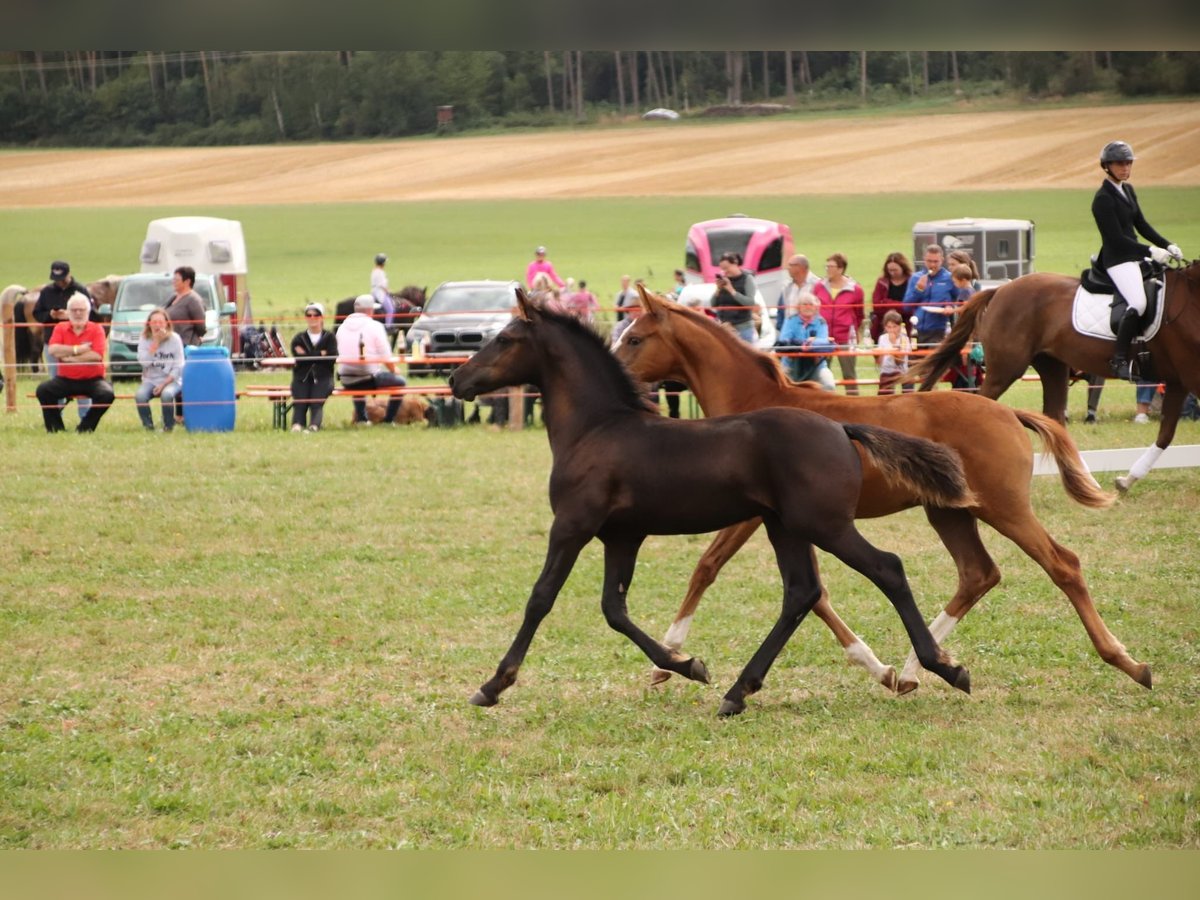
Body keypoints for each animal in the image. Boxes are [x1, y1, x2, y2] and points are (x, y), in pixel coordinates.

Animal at [446, 290, 969, 720]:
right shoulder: (622, 536)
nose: (455, 379)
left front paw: (493, 685)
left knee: (887, 568)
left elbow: (541, 598)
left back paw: (943, 667)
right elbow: (614, 609)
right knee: (801, 592)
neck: (596, 429)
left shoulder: (573, 525)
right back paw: (739, 692)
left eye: (506, 338)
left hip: (824, 524)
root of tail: (841, 429)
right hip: (785, 526)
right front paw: (687, 665)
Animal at [614, 285, 1147, 696]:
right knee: (978, 574)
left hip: (1004, 507)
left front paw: (666, 663)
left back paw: (1128, 662)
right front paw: (883, 669)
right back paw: (918, 669)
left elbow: (707, 568)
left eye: (635, 337)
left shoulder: (755, 516)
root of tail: (1009, 412)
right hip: (950, 511)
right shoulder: (794, 521)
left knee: (1062, 564)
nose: (615, 378)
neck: (756, 403)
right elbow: (815, 593)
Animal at [907, 260, 1200, 494]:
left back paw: (1087, 483)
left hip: (1052, 365)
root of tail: (1000, 289)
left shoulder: (1177, 380)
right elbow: (1168, 433)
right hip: (1007, 368)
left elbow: (1166, 434)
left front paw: (1126, 481)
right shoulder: (1189, 375)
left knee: (1055, 418)